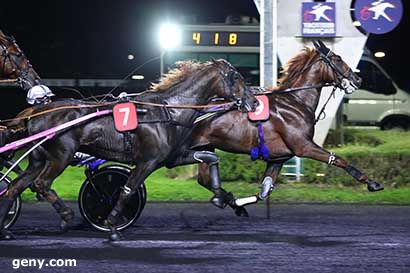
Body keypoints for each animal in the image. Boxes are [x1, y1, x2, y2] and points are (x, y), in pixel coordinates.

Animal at [0, 58, 256, 239]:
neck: (168, 111)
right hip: (61, 156)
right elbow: (127, 189)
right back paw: (65, 216)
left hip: (38, 159)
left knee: (14, 187)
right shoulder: (147, 162)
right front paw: (112, 225)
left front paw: (226, 198)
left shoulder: (171, 158)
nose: (253, 102)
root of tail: (33, 112)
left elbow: (211, 157)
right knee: (41, 184)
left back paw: (5, 229)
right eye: (236, 77)